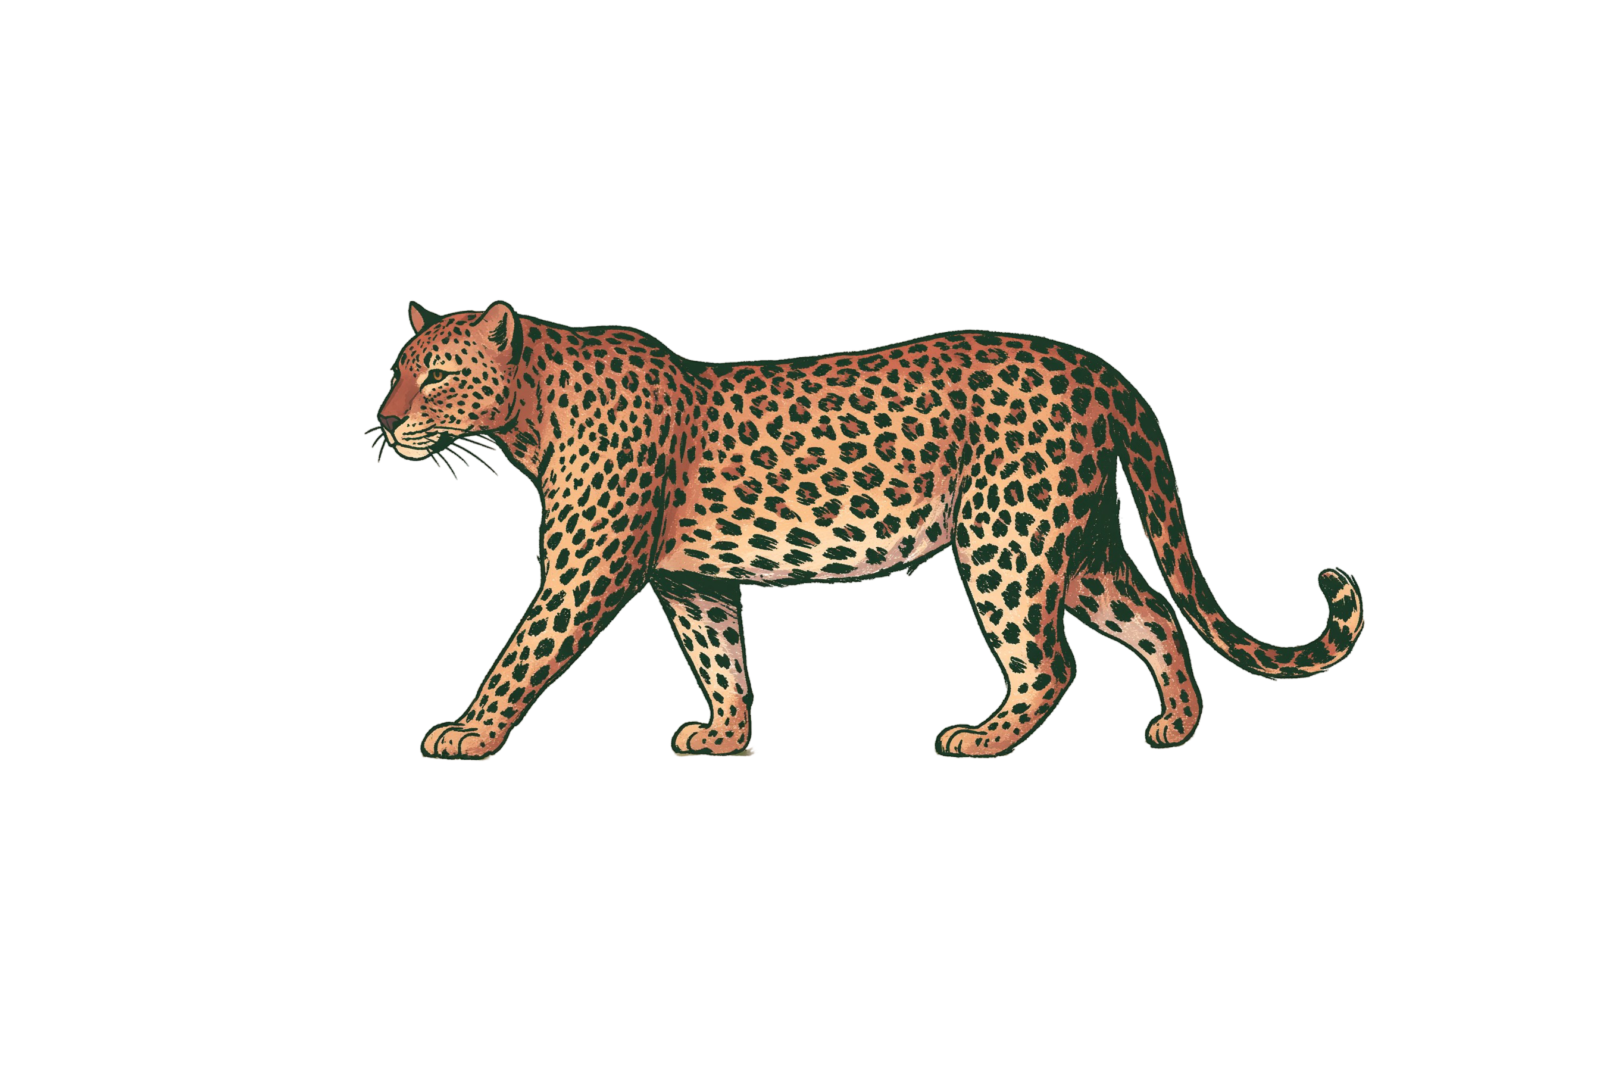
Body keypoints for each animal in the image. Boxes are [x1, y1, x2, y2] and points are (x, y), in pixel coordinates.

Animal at [370, 299, 1366, 760]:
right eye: (394, 370)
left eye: (439, 375)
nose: (380, 422)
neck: (530, 416)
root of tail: (1099, 368)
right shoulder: (693, 579)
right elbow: (721, 656)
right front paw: (726, 736)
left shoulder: (586, 569)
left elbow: (521, 652)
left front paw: (467, 732)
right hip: (1077, 545)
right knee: (1155, 616)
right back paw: (1176, 725)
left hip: (1006, 538)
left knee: (1051, 660)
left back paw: (983, 738)